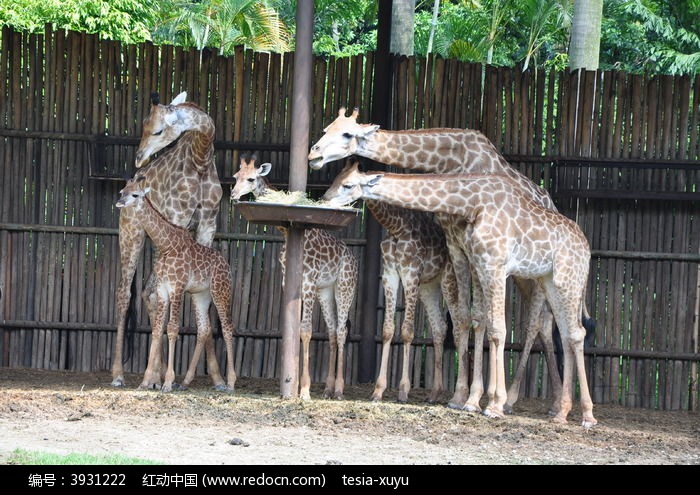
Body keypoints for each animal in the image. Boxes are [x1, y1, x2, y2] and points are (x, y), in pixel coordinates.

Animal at [112, 91, 223, 390]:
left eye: (158, 130)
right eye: (143, 125)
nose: (139, 158)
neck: (200, 160)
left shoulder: (208, 223)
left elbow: (202, 302)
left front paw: (218, 377)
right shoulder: (178, 217)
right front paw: (157, 376)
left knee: (147, 293)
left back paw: (157, 373)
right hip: (131, 232)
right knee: (127, 293)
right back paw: (121, 374)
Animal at [113, 176, 237, 394]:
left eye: (135, 194)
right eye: (122, 191)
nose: (120, 203)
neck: (166, 245)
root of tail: (226, 265)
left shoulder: (177, 287)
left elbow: (172, 328)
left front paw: (167, 382)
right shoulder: (163, 290)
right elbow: (157, 329)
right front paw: (146, 381)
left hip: (221, 290)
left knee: (227, 327)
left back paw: (230, 382)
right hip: (201, 294)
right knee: (204, 328)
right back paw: (186, 381)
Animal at [231, 157, 358, 402]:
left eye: (250, 178)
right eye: (235, 176)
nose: (232, 194)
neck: (287, 234)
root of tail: (353, 259)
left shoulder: (308, 281)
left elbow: (305, 330)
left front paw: (305, 390)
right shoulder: (289, 282)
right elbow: (292, 328)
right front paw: (294, 384)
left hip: (345, 286)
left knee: (341, 330)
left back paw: (339, 390)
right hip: (325, 290)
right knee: (331, 330)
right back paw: (327, 389)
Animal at [322, 165, 596, 428]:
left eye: (347, 185)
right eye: (334, 179)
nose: (324, 198)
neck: (474, 202)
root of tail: (587, 248)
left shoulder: (495, 266)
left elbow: (498, 329)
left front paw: (494, 405)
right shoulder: (480, 266)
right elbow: (484, 324)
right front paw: (478, 400)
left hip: (566, 280)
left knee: (572, 332)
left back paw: (586, 415)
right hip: (551, 282)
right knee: (566, 333)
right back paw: (562, 413)